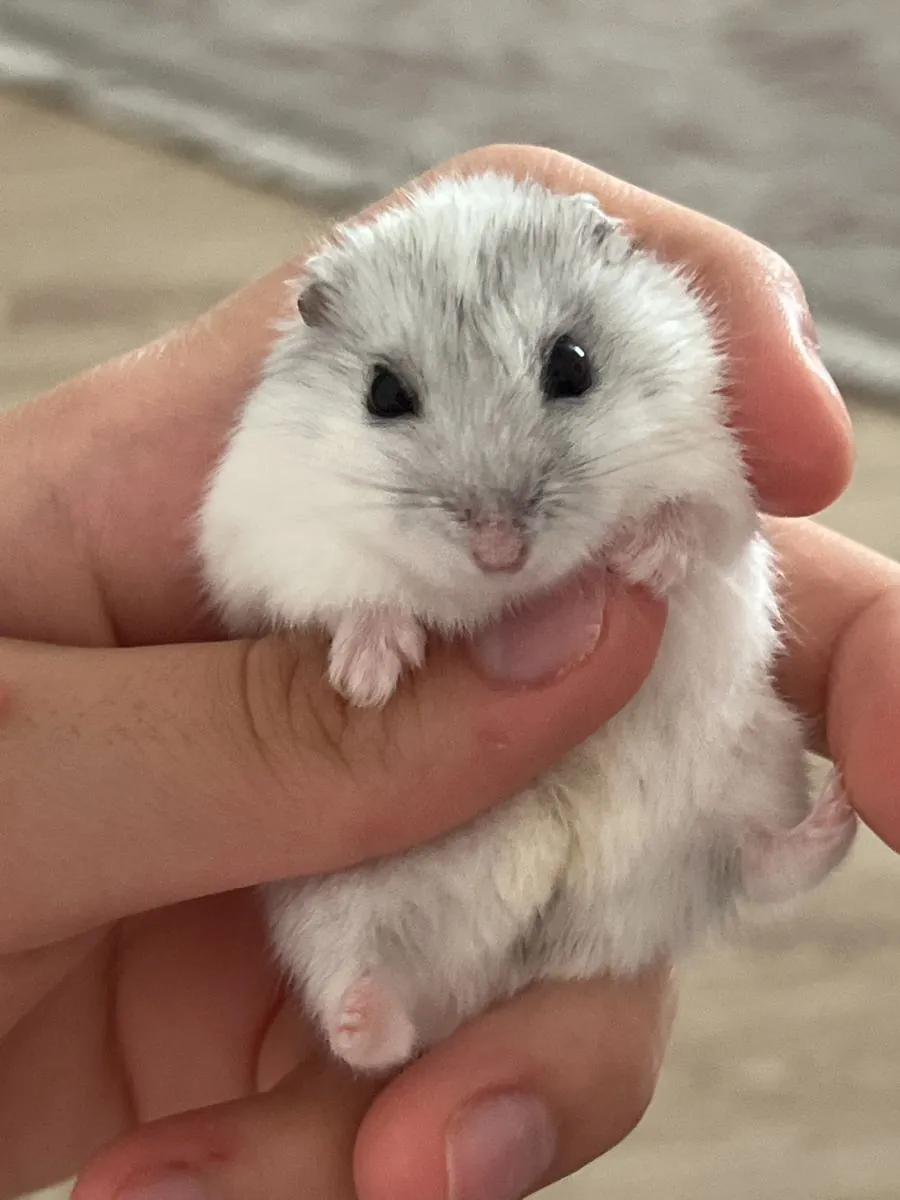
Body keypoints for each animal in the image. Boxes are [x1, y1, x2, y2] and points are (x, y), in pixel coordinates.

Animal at [198, 173, 857, 1073]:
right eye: (383, 393)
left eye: (572, 364)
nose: (501, 551)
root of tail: (533, 950)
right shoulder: (266, 546)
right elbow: (343, 598)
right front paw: (370, 677)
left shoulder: (720, 470)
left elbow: (697, 519)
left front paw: (647, 560)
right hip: (326, 896)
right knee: (362, 1005)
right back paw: (365, 1020)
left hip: (751, 766)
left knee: (762, 864)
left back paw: (843, 807)